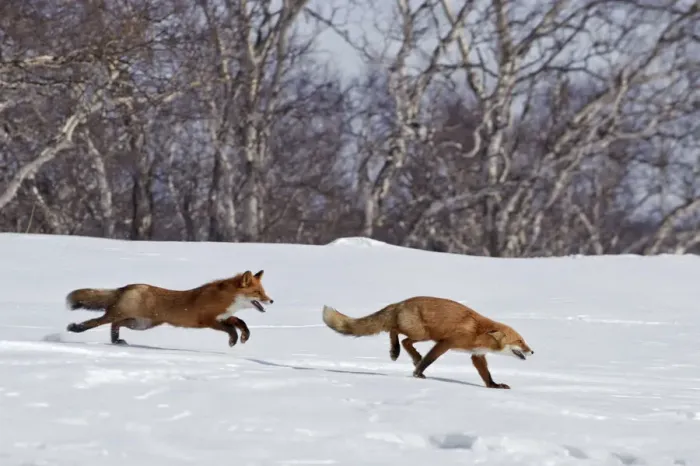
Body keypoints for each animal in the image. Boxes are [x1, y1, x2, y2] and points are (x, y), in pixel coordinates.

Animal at [64, 270, 273, 347]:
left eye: (264, 291)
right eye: (258, 293)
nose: (271, 301)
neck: (225, 299)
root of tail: (128, 286)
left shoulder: (223, 317)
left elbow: (240, 322)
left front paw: (244, 337)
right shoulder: (207, 320)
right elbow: (231, 329)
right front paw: (234, 340)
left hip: (139, 324)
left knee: (114, 325)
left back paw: (116, 341)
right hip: (123, 316)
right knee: (97, 321)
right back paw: (75, 328)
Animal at [322, 296, 533, 389]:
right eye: (520, 341)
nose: (532, 352)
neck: (478, 332)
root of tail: (400, 303)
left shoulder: (477, 354)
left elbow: (486, 374)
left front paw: (494, 386)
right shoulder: (445, 343)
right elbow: (429, 360)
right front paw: (418, 373)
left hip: (421, 335)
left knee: (403, 339)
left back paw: (407, 354)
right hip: (422, 333)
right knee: (396, 333)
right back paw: (396, 351)